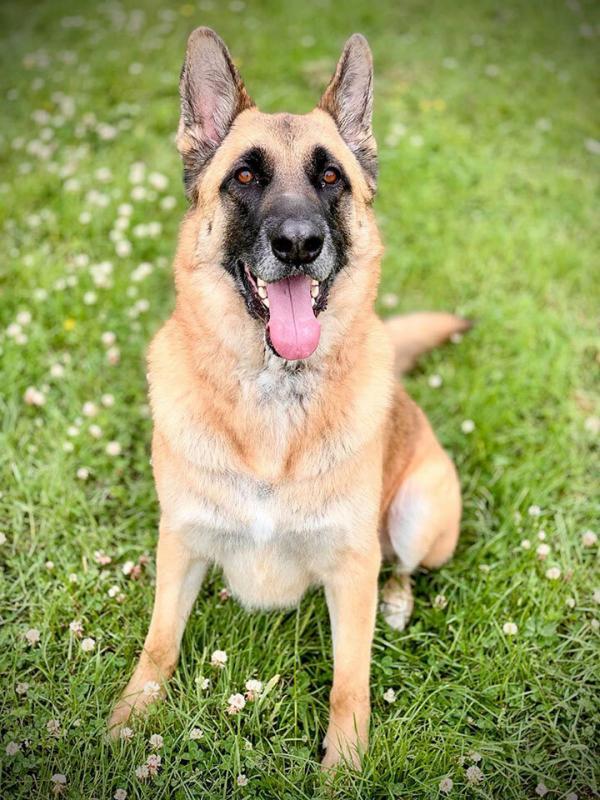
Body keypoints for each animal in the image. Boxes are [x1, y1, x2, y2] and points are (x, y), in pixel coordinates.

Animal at [110, 26, 472, 768]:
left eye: (331, 178)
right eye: (244, 177)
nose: (300, 244)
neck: (274, 394)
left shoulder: (352, 566)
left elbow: (350, 682)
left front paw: (344, 767)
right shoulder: (181, 543)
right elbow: (158, 646)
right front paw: (124, 723)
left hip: (419, 517)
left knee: (404, 569)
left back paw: (398, 603)